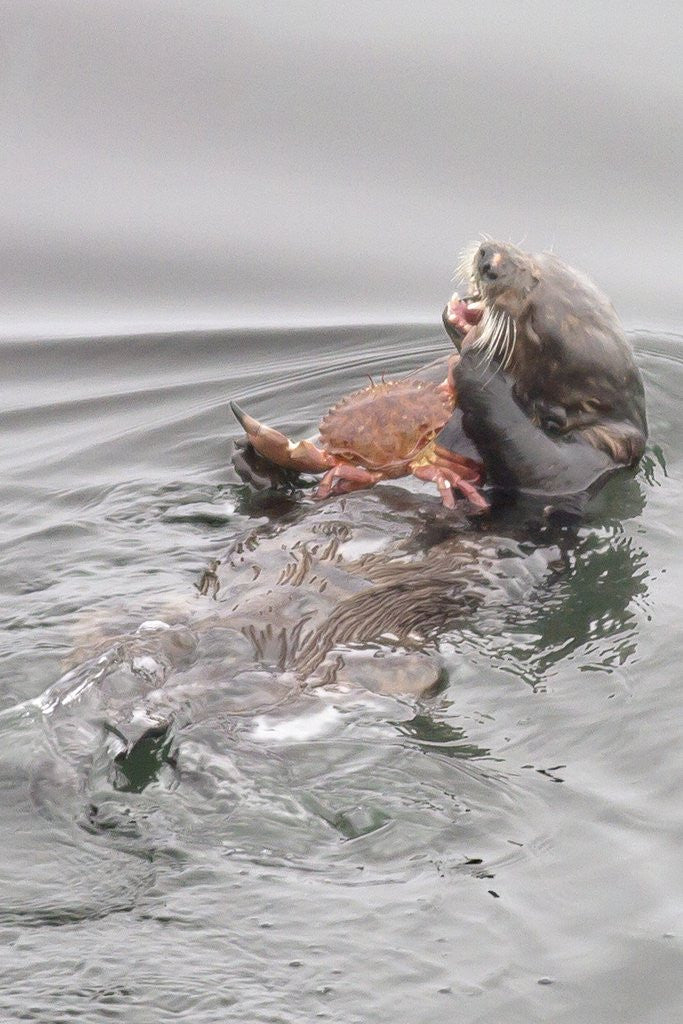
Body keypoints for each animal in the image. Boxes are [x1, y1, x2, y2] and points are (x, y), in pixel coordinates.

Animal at [437, 241, 647, 516]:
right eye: (538, 258)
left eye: (534, 326)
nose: (490, 260)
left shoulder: (590, 463)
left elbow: (543, 466)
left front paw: (479, 366)